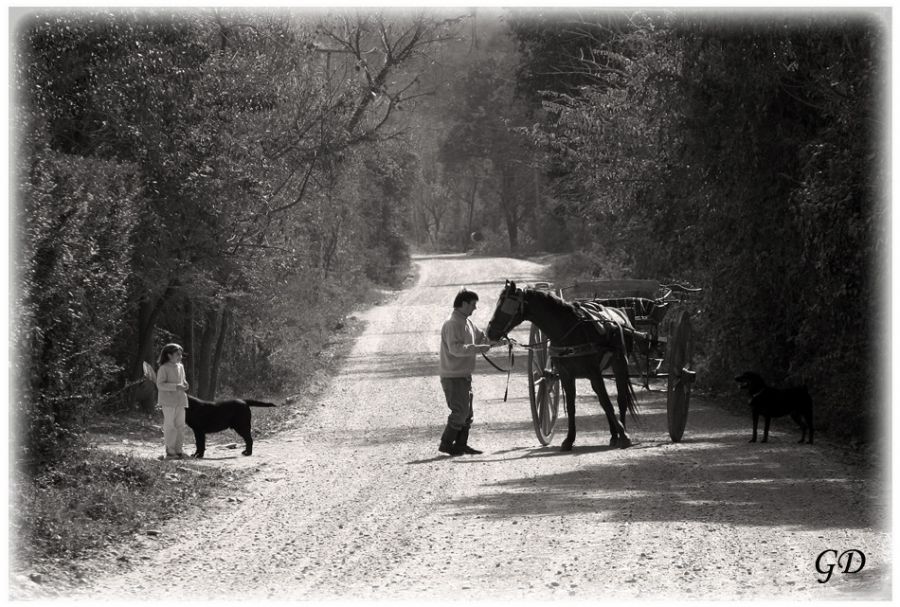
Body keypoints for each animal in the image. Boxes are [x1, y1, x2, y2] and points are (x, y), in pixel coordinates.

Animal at [486, 282, 640, 452]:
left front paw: (624, 436)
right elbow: (572, 406)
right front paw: (569, 440)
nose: (490, 332)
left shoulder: (593, 372)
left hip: (620, 364)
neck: (569, 331)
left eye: (507, 305)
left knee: (620, 399)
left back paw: (620, 433)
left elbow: (607, 402)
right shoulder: (566, 374)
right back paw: (614, 435)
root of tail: (621, 315)